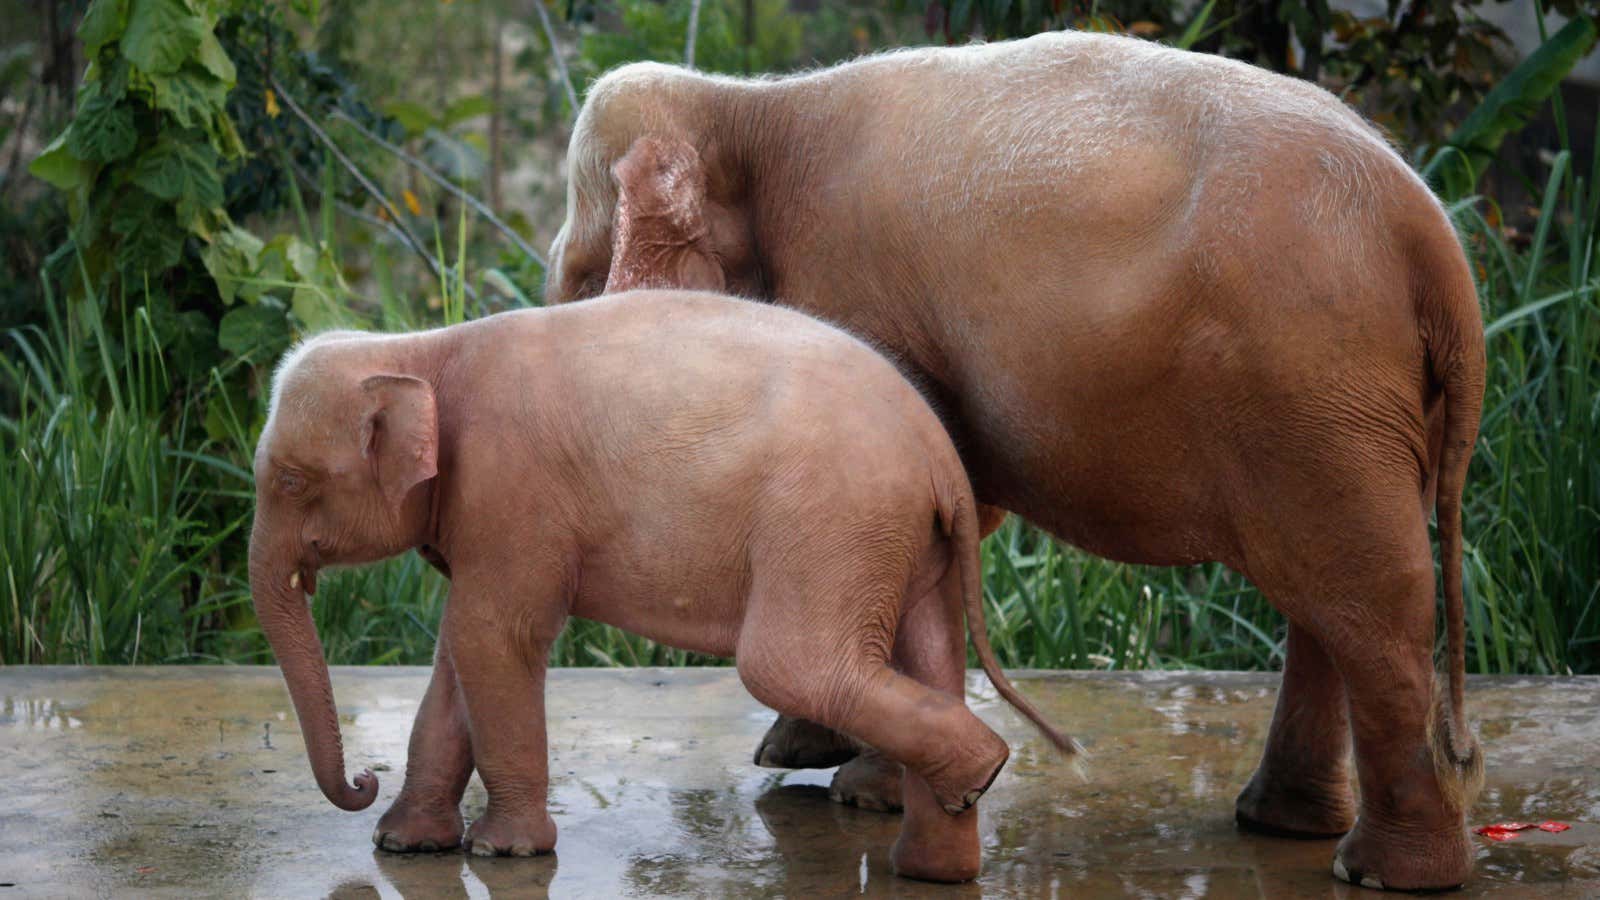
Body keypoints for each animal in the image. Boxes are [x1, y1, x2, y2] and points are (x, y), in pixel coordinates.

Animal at [249, 291, 1075, 877]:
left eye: (290, 481)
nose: (363, 778)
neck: (420, 346)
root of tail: (941, 454)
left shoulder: (513, 492)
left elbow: (494, 639)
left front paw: (502, 853)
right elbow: (459, 654)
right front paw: (406, 846)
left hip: (834, 522)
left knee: (787, 666)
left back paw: (982, 771)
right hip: (902, 540)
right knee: (929, 657)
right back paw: (936, 865)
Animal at [540, 29, 1484, 890]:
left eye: (583, 276)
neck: (748, 105)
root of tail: (1433, 237)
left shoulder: (860, 298)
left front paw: (864, 797)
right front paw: (804, 760)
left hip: (1312, 381)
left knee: (1368, 598)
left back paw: (1383, 872)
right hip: (1342, 408)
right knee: (1326, 593)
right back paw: (1288, 827)